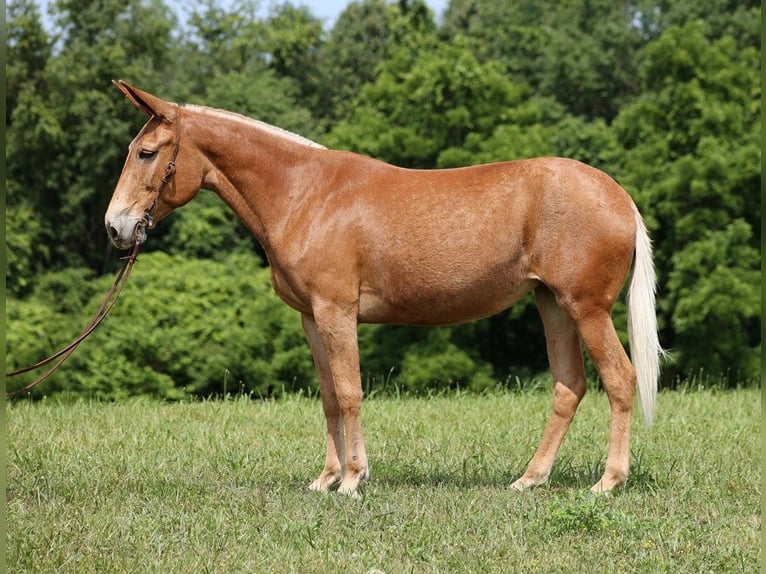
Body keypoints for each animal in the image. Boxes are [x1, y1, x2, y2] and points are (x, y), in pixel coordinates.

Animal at [105, 82, 664, 500]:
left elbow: (351, 391)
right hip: (552, 305)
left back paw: (608, 482)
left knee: (620, 379)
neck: (303, 194)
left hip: (586, 309)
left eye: (147, 153)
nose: (116, 227)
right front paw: (325, 479)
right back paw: (530, 478)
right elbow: (330, 396)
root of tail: (619, 196)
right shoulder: (311, 317)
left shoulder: (336, 311)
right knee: (569, 387)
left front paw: (353, 480)